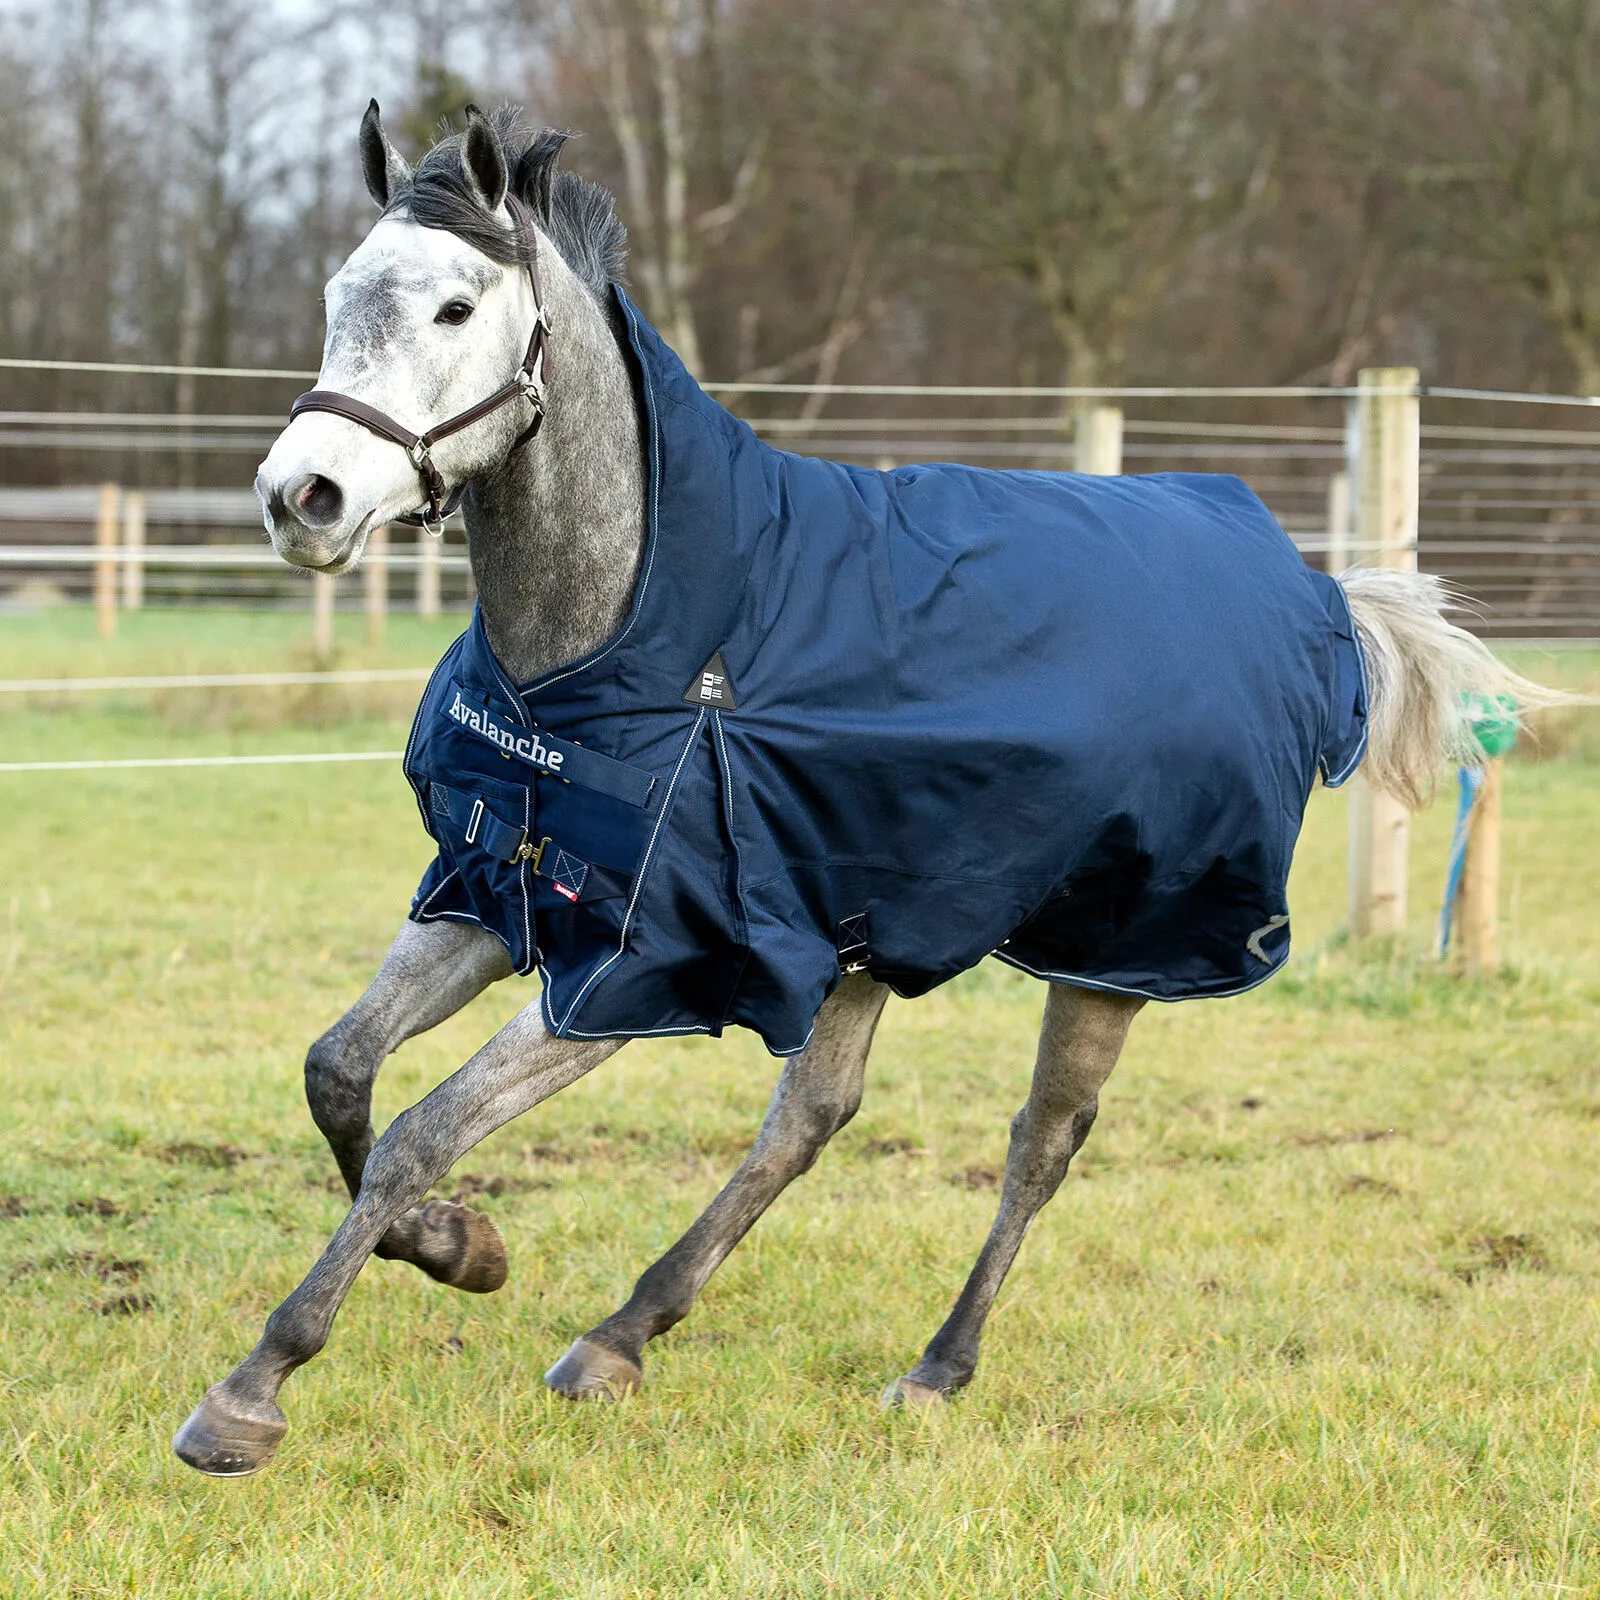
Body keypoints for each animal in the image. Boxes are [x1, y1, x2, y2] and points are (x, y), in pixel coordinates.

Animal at [172, 103, 1536, 1472]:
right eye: (339, 296)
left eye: (456, 307)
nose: (301, 499)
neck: (627, 638)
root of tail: (1311, 591)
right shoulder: (496, 894)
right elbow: (341, 1071)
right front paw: (463, 1249)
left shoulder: (633, 967)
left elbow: (420, 1131)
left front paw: (254, 1387)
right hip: (873, 928)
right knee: (811, 1116)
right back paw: (619, 1337)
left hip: (1118, 944)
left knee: (1039, 1140)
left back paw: (935, 1367)